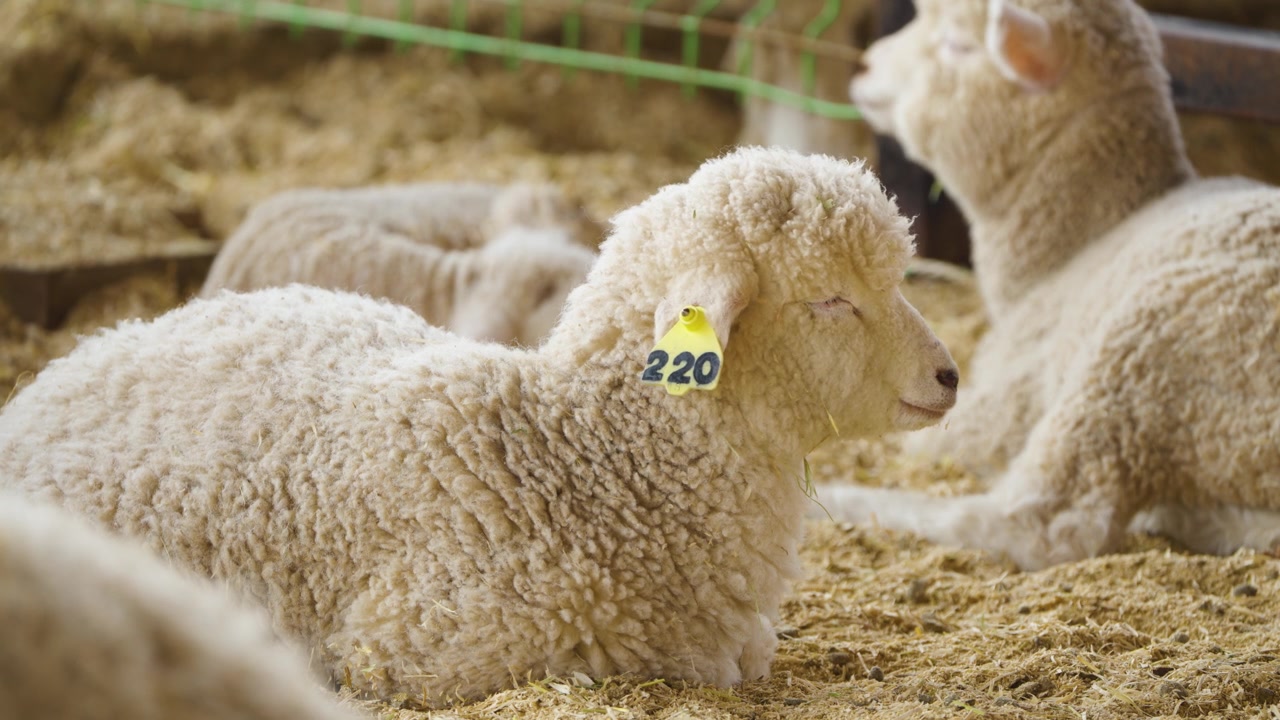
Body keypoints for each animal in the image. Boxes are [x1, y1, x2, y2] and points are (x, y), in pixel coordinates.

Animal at [818, 0, 1280, 570]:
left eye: (958, 45)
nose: (863, 66)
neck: (1067, 251)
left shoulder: (1000, 401)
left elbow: (920, 447)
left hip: (1143, 359)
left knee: (1042, 522)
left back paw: (844, 501)